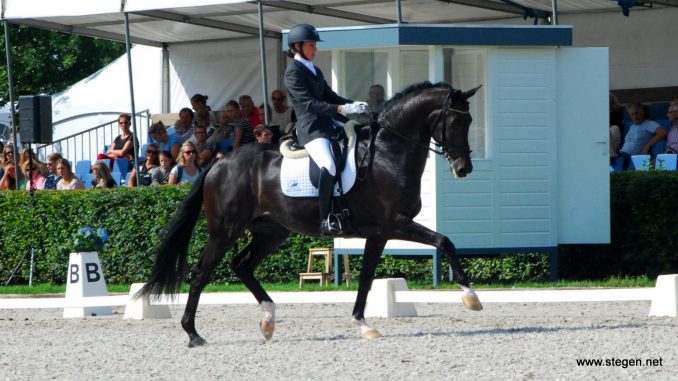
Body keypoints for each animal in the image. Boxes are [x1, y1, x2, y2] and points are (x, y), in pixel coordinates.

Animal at [141, 81, 486, 346]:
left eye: (470, 121)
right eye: (457, 122)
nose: (463, 168)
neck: (388, 154)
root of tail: (218, 163)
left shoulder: (379, 233)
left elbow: (366, 278)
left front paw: (364, 325)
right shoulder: (395, 224)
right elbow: (444, 241)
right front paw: (471, 297)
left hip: (272, 231)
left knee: (241, 265)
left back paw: (268, 320)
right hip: (225, 230)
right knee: (201, 273)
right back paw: (193, 333)